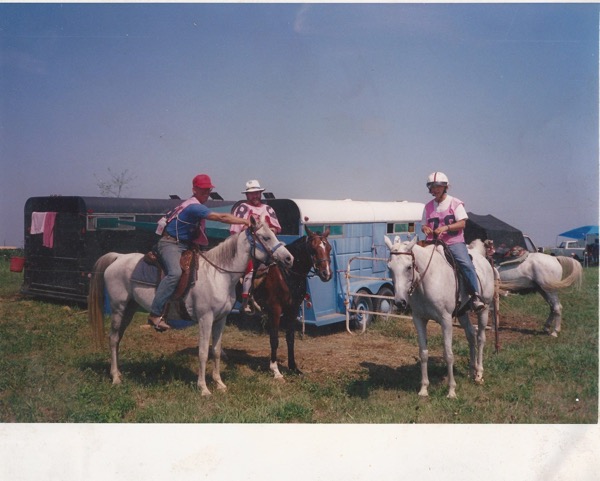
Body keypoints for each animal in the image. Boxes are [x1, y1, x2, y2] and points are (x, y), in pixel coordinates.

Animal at [88, 214, 292, 394]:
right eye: (266, 237)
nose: (289, 258)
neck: (218, 275)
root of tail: (118, 257)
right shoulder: (205, 319)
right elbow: (203, 352)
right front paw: (203, 388)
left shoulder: (221, 320)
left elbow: (216, 350)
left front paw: (219, 383)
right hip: (118, 308)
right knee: (113, 338)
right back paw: (115, 377)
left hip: (129, 309)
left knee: (118, 338)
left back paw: (118, 372)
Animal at [252, 225, 332, 378]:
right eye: (313, 249)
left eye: (329, 248)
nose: (327, 274)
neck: (287, 273)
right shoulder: (275, 310)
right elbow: (274, 339)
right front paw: (275, 370)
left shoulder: (293, 309)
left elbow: (290, 338)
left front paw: (293, 367)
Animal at [384, 236, 496, 398]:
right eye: (390, 267)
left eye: (408, 267)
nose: (400, 302)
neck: (427, 280)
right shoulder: (419, 319)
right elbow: (423, 353)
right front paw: (424, 389)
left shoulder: (446, 320)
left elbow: (448, 354)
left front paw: (451, 391)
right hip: (462, 313)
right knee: (471, 335)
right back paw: (471, 371)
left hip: (484, 309)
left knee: (481, 338)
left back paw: (479, 374)